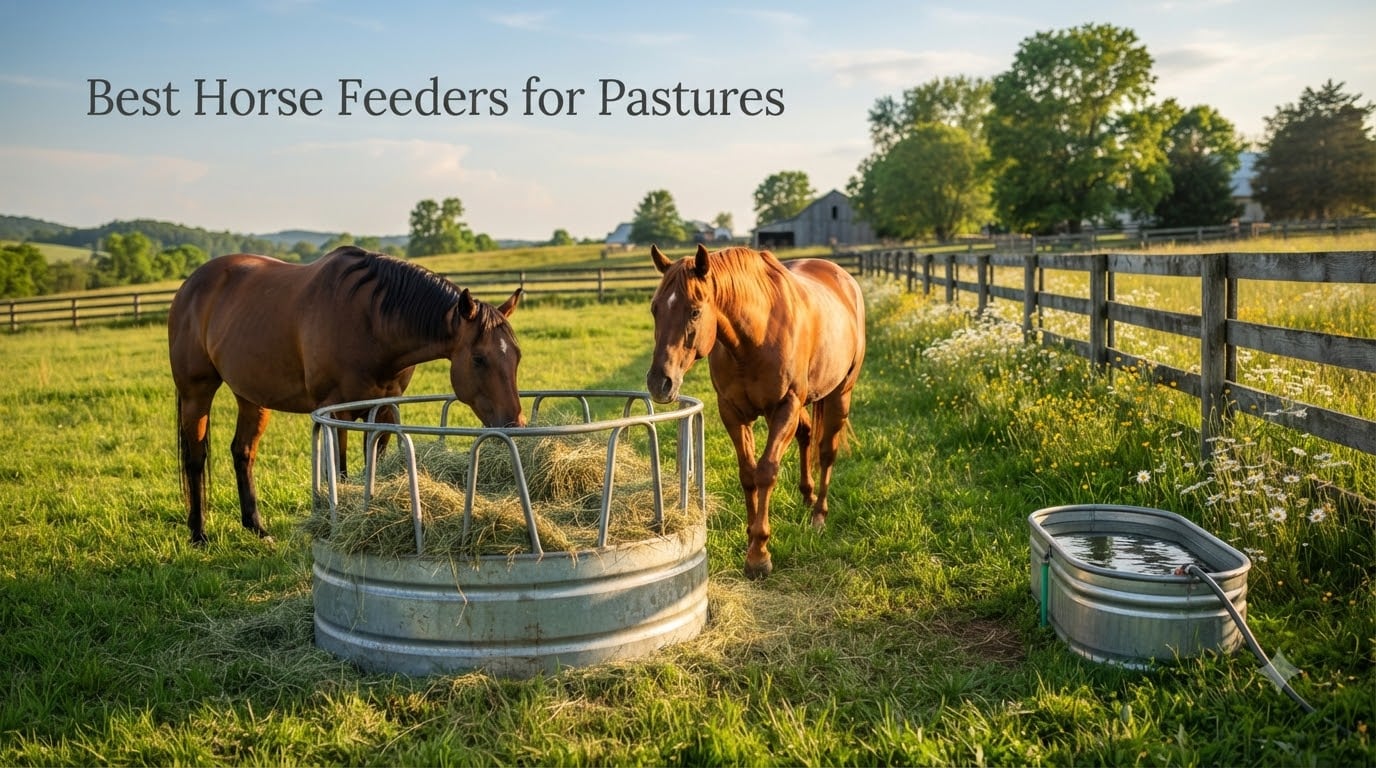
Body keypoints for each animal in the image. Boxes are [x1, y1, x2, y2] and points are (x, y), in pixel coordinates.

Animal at [168, 245, 524, 545]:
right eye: (478, 359)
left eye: (517, 355)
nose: (515, 425)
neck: (373, 322)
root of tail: (190, 286)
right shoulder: (337, 412)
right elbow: (339, 472)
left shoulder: (383, 410)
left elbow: (372, 466)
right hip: (196, 392)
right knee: (196, 458)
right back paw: (198, 534)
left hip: (251, 396)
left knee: (243, 452)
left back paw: (257, 527)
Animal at [646, 244, 865, 579]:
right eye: (655, 308)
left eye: (695, 311)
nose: (660, 383)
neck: (755, 337)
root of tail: (843, 277)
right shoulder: (732, 412)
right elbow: (747, 474)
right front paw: (751, 538)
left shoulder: (785, 407)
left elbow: (766, 472)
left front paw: (759, 555)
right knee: (806, 435)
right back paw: (807, 496)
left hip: (840, 394)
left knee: (827, 452)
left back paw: (818, 516)